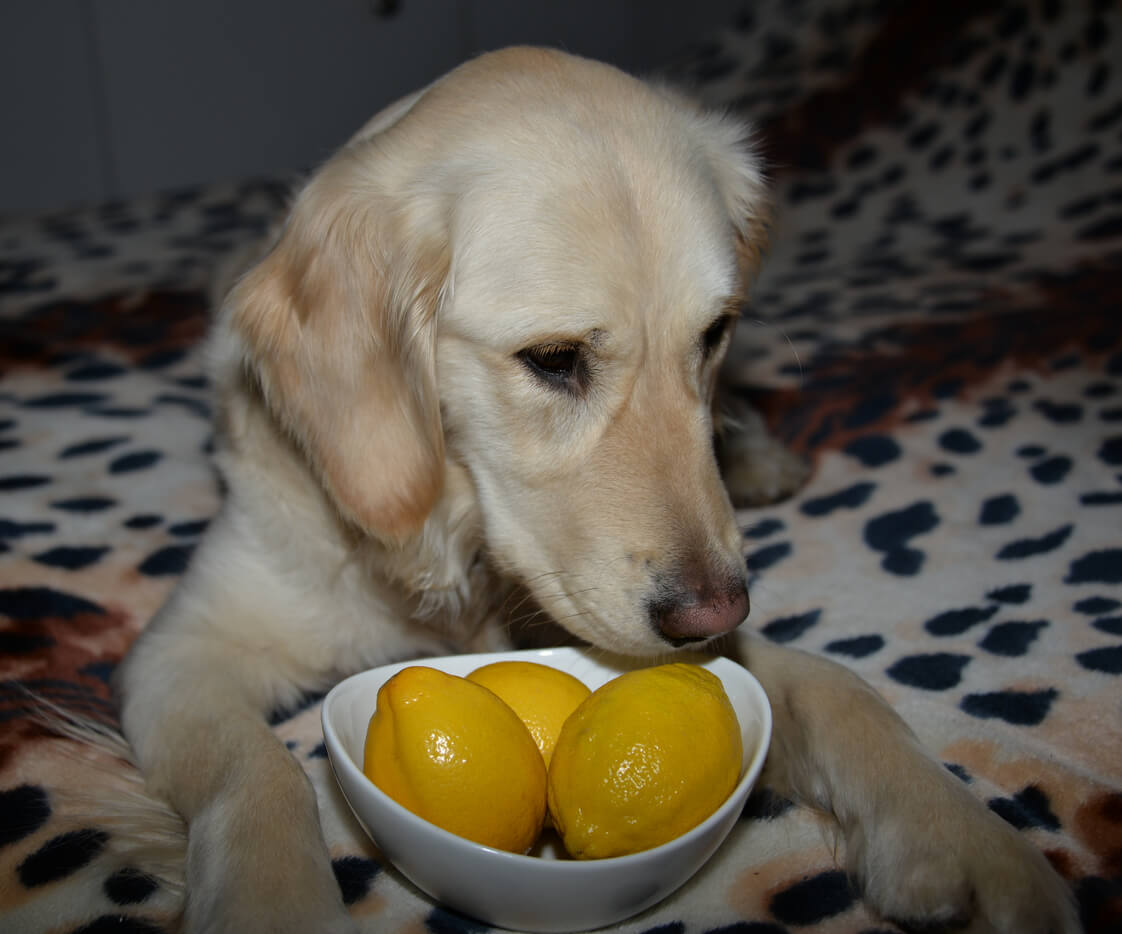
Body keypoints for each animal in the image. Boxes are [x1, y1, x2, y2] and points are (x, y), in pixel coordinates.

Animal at [116, 49, 1077, 934]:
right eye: (553, 359)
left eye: (714, 333)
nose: (714, 609)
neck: (453, 546)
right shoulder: (185, 651)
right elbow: (259, 771)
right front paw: (273, 901)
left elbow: (838, 690)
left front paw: (962, 837)